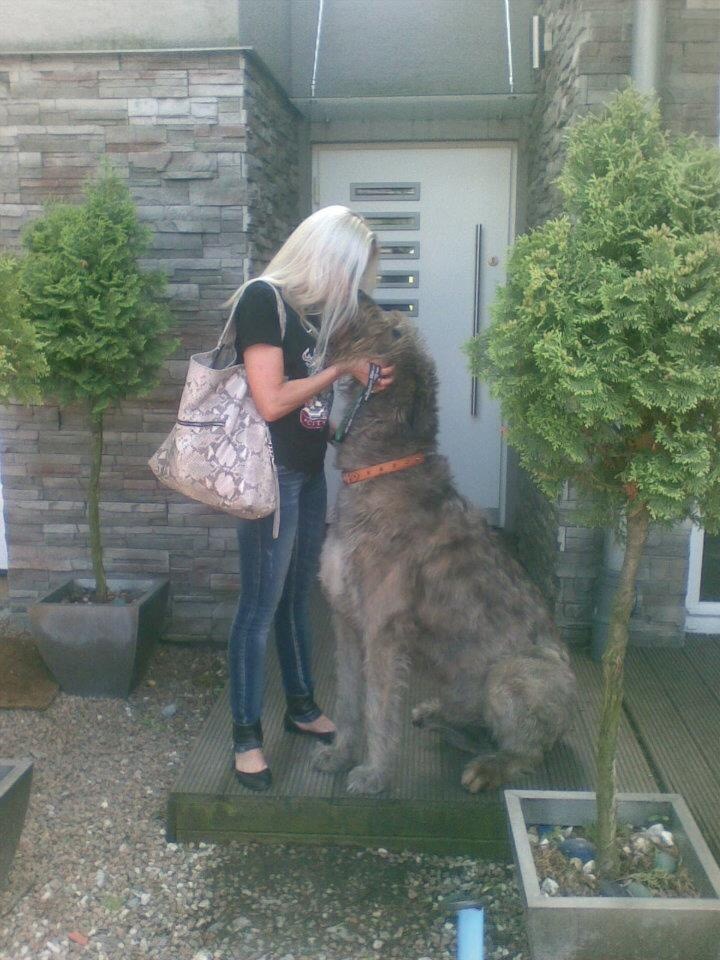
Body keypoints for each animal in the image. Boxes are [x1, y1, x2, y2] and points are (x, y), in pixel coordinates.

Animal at [316, 294, 580, 796]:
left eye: (395, 330)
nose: (361, 296)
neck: (382, 468)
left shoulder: (381, 631)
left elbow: (377, 706)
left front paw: (373, 773)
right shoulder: (344, 620)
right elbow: (345, 698)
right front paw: (339, 754)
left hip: (511, 676)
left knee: (528, 752)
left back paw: (489, 766)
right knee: (470, 724)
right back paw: (437, 716)